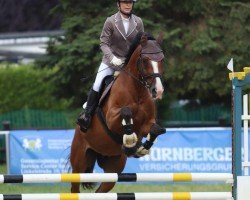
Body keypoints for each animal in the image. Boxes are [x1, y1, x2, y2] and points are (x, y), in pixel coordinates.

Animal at [70, 32, 166, 193]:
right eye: (145, 60)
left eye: (162, 59)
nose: (157, 91)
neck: (137, 92)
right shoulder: (111, 119)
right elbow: (126, 112)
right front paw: (129, 141)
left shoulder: (147, 124)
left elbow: (156, 129)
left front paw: (140, 148)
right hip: (79, 164)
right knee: (74, 188)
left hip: (113, 169)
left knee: (101, 191)